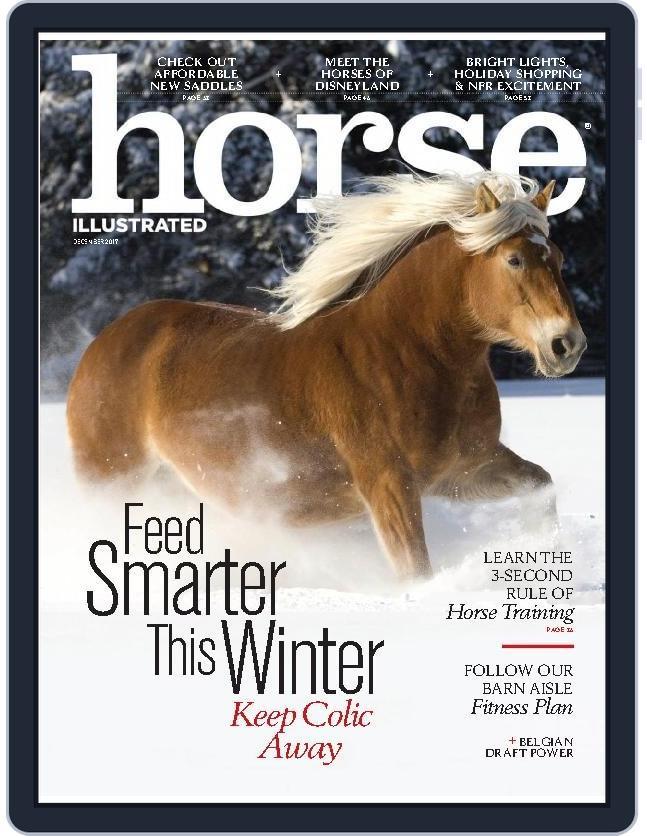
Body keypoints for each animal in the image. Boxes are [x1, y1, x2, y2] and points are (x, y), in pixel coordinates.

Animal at [66, 172, 587, 579]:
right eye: (514, 259)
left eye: (560, 260)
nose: (567, 345)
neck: (408, 352)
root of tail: (101, 344)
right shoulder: (388, 485)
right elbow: (414, 570)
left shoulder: (462, 472)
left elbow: (542, 487)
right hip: (112, 480)